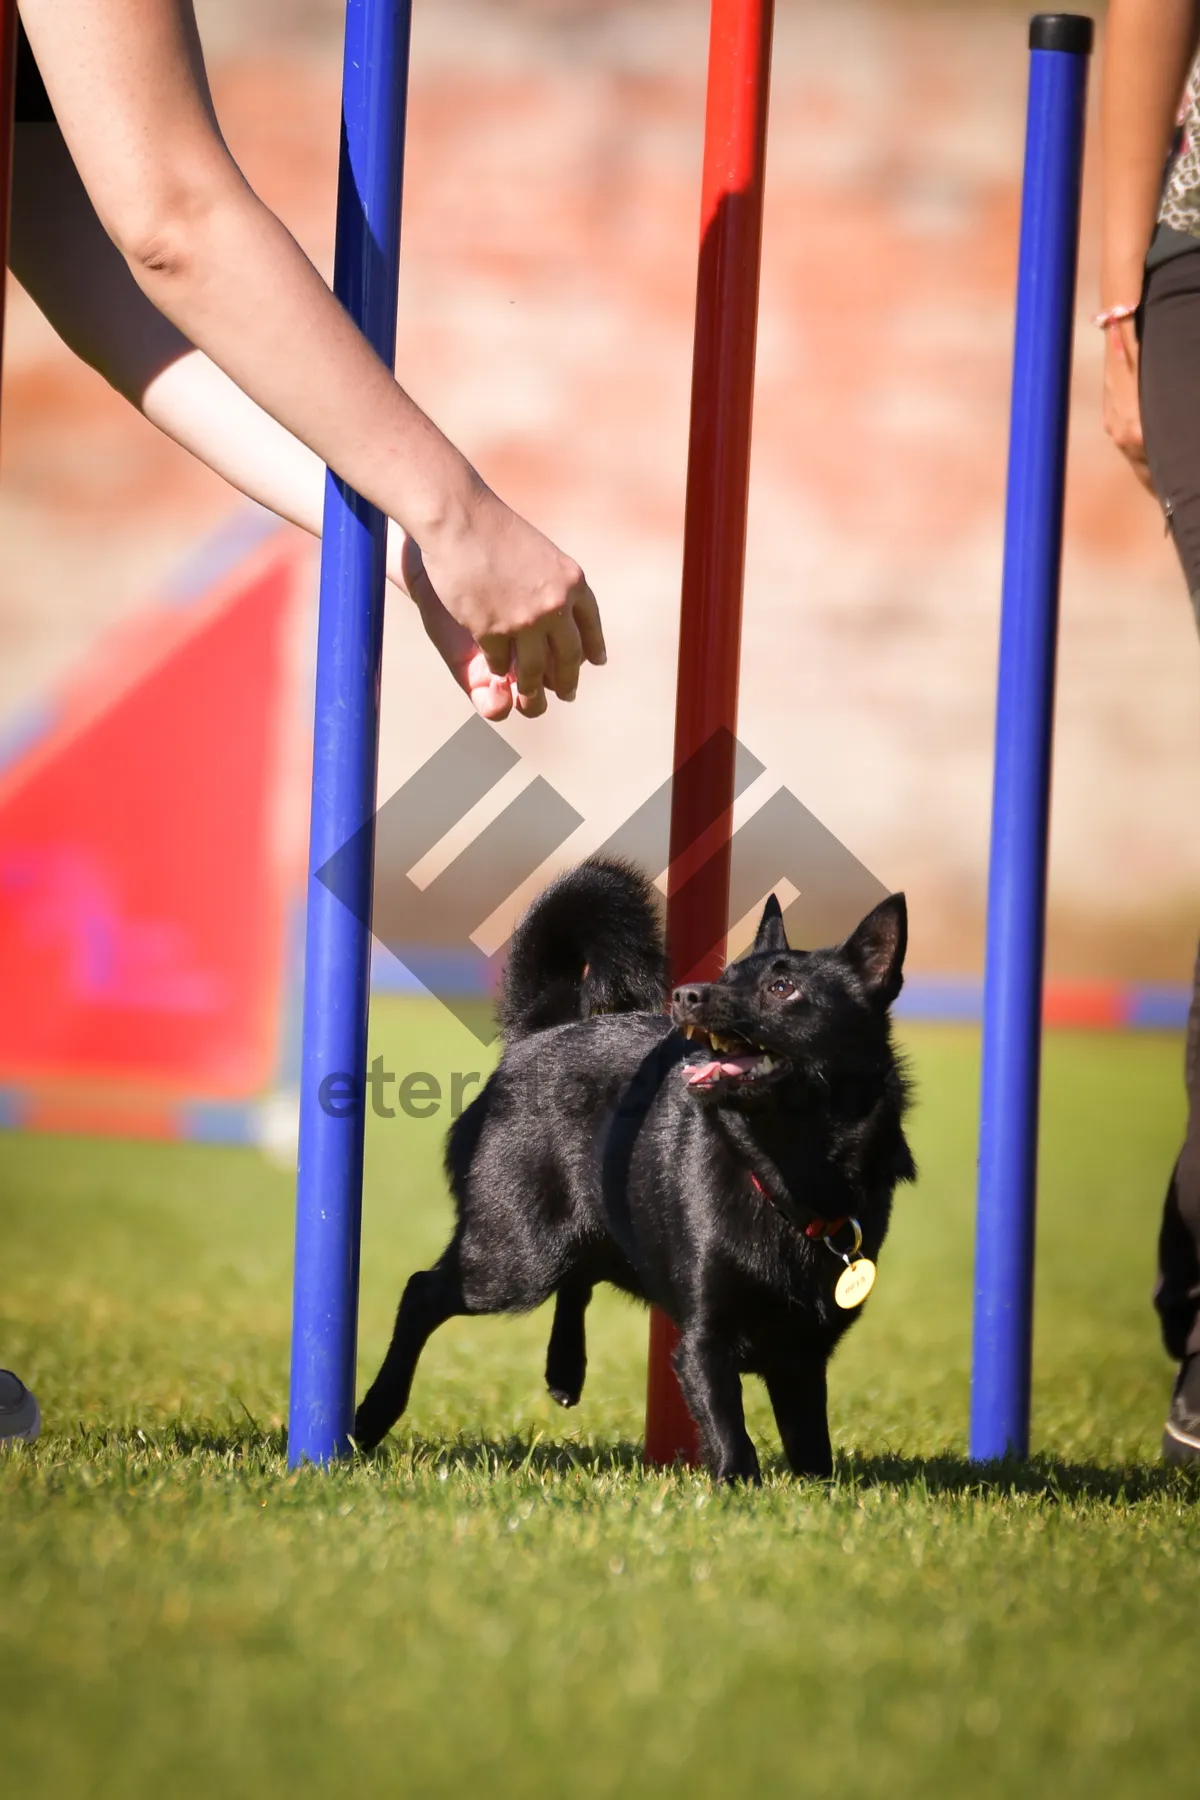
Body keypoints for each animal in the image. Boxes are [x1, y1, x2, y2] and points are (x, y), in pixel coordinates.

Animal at [352, 856, 913, 1476]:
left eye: (782, 988)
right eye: (728, 974)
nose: (688, 995)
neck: (785, 1170)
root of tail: (541, 1032)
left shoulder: (803, 1356)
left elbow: (812, 1446)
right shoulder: (703, 1344)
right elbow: (731, 1433)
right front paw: (738, 1486)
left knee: (578, 1275)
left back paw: (564, 1370)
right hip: (515, 1256)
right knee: (422, 1293)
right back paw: (372, 1416)